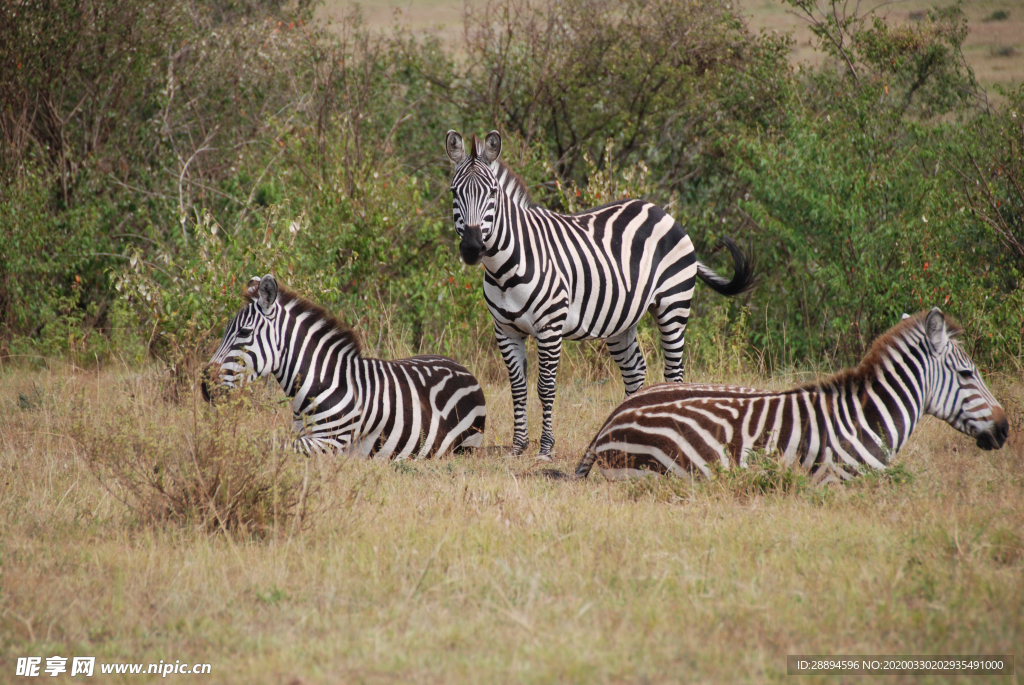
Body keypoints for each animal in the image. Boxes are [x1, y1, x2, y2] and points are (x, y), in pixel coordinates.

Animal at [202, 274, 487, 458]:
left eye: (244, 332)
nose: (205, 386)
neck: (320, 384)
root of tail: (462, 368)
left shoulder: (329, 441)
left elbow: (267, 446)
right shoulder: (300, 433)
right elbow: (263, 441)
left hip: (463, 446)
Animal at [444, 129, 757, 458]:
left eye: (492, 193)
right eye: (454, 192)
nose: (472, 248)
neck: (504, 268)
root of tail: (661, 211)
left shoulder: (550, 326)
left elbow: (545, 386)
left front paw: (545, 448)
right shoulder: (505, 330)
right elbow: (517, 387)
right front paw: (518, 446)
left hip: (674, 306)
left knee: (674, 372)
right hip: (621, 320)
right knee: (635, 371)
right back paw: (627, 433)